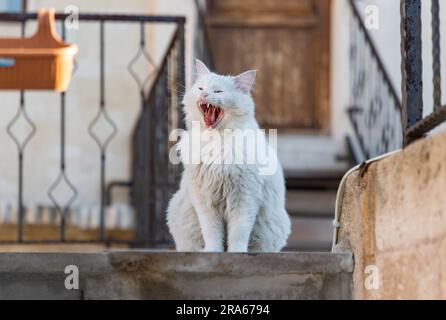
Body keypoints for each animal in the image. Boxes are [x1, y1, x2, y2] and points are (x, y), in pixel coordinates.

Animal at [166, 58, 290, 251]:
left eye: (218, 91)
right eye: (201, 88)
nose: (204, 95)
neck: (217, 143)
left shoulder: (244, 199)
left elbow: (238, 234)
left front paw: (237, 253)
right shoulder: (205, 201)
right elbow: (212, 233)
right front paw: (213, 252)